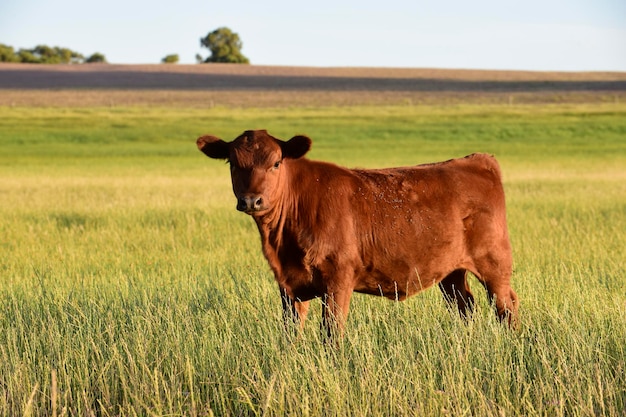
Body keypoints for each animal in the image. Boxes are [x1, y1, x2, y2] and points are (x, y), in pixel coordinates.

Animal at [196, 128, 516, 336]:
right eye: (233, 164)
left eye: (276, 163)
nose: (252, 200)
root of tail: (476, 160)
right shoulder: (288, 285)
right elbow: (290, 333)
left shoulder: (338, 278)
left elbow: (331, 332)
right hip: (450, 271)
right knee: (465, 306)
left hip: (494, 262)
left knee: (505, 305)